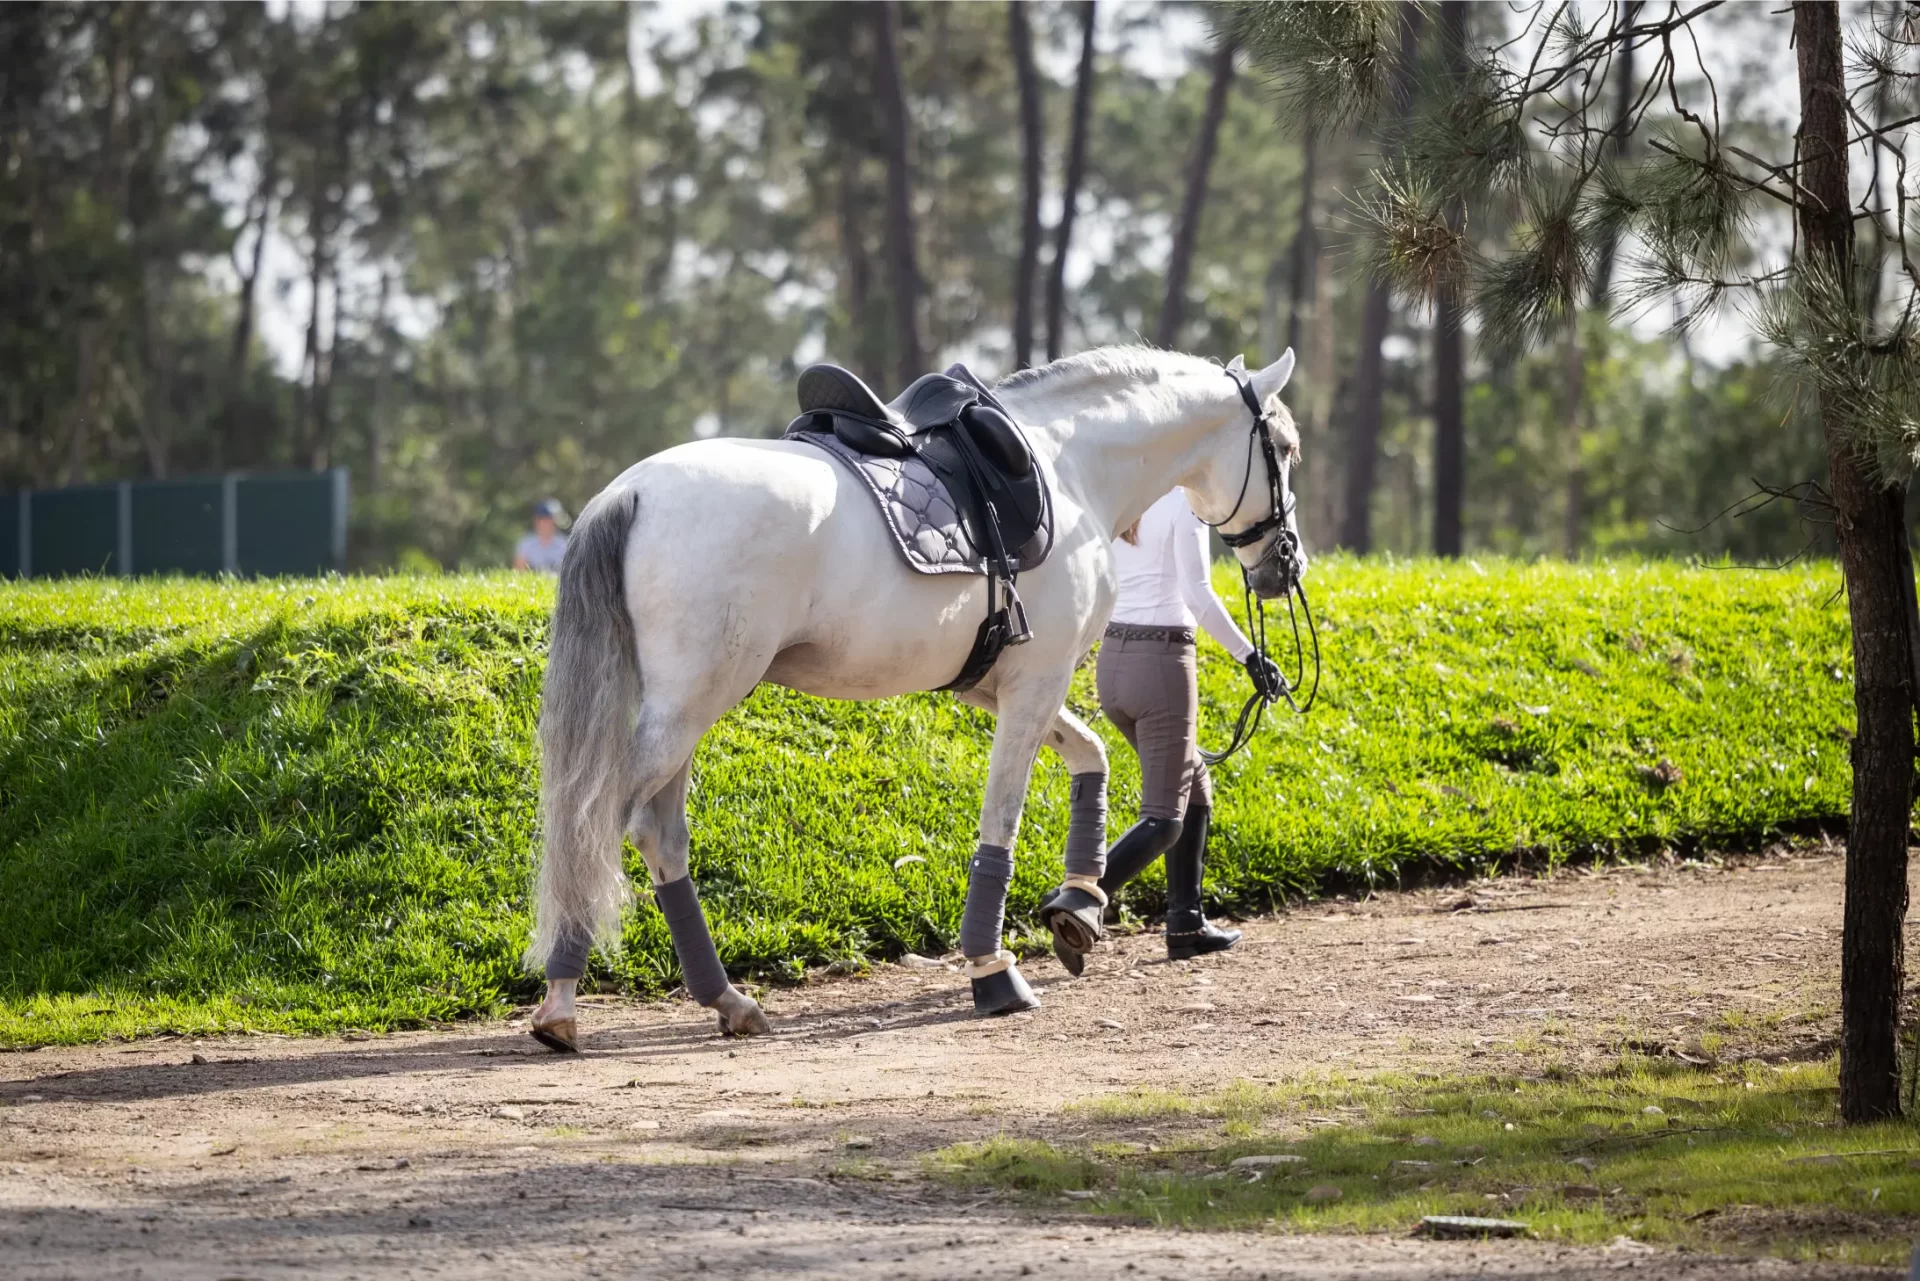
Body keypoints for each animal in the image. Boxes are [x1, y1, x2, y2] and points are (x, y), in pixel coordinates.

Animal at [523, 345, 1303, 1049]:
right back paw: (562, 999)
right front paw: (992, 969)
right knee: (595, 823)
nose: (1284, 562)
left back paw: (727, 1000)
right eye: (1285, 448)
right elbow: (1002, 821)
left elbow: (1093, 759)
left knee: (658, 836)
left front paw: (1079, 903)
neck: (1071, 465)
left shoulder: (994, 685)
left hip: (682, 715)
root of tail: (632, 493)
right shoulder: (1037, 680)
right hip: (689, 706)